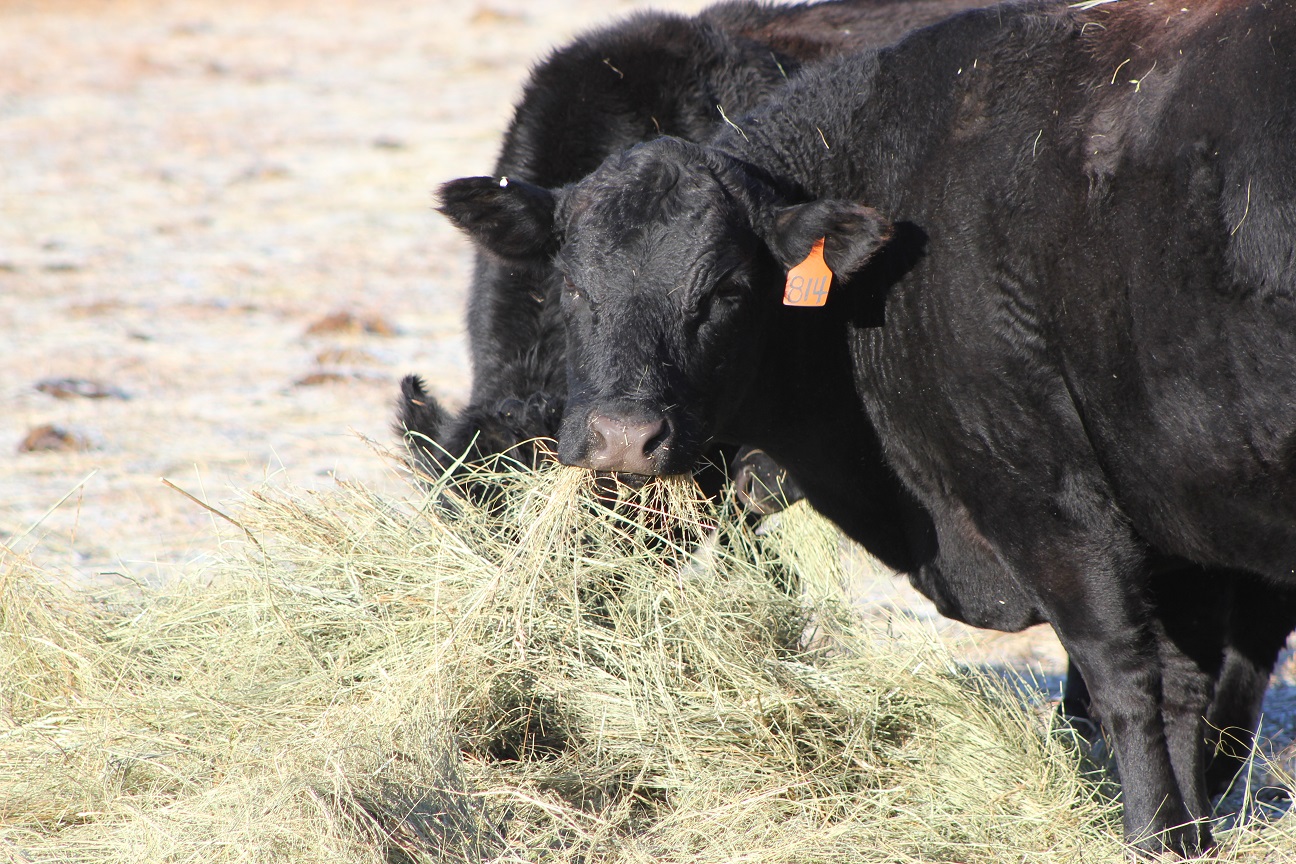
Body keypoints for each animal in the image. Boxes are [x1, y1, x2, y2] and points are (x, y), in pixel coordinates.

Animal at [432, 0, 1296, 849]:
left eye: (729, 289)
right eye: (572, 283)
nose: (622, 437)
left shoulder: (1045, 491)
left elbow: (1122, 672)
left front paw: (1148, 834)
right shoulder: (1171, 518)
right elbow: (1181, 684)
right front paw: (1186, 836)